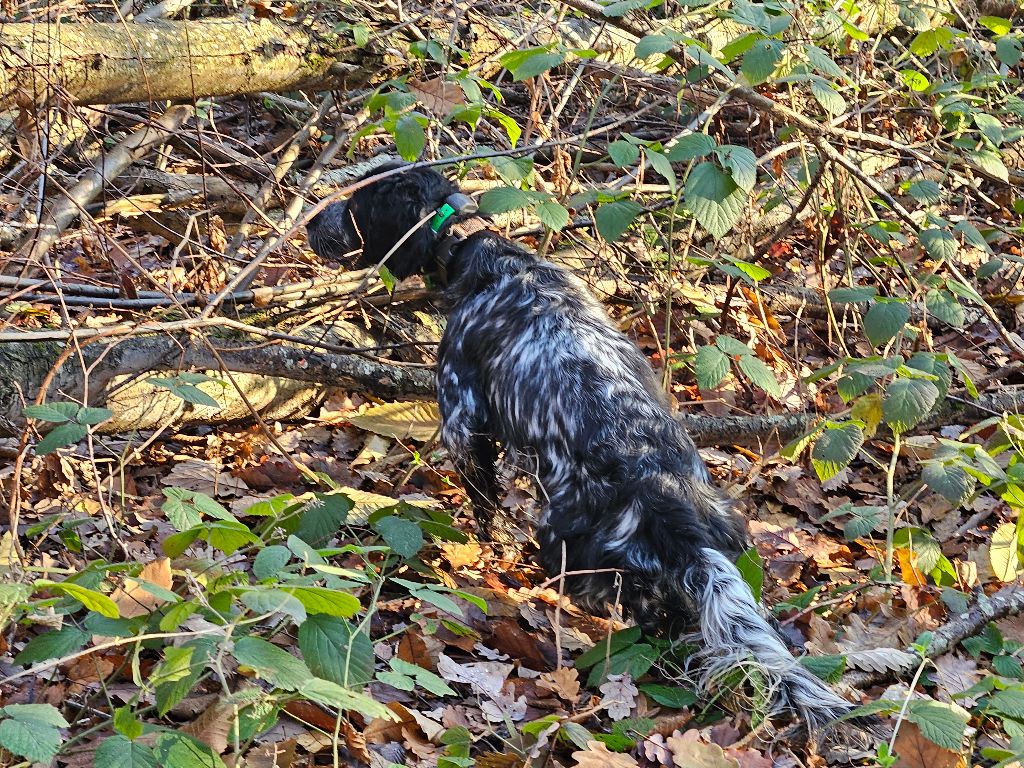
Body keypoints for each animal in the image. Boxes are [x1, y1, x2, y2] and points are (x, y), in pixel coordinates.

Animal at [307, 166, 860, 733]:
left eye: (358, 203)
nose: (310, 224)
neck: (480, 253)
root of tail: (674, 515)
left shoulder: (462, 420)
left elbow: (483, 506)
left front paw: (483, 543)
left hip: (568, 548)